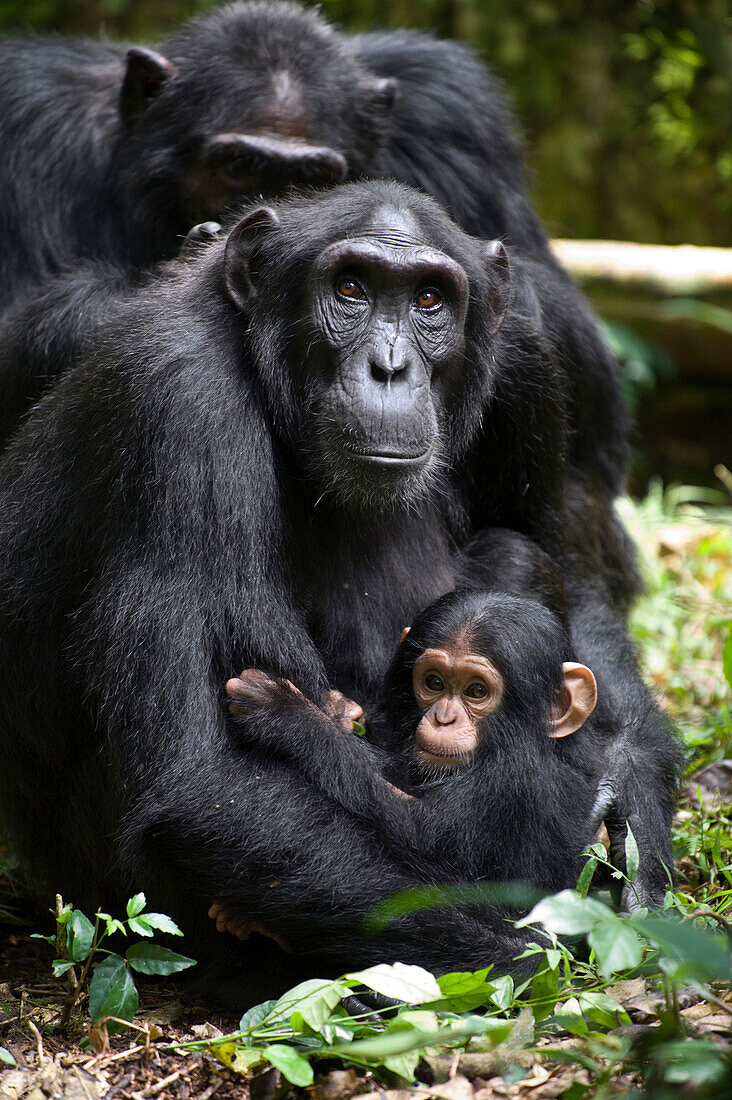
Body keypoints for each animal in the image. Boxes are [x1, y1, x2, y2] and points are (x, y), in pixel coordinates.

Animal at [0, 182, 678, 1007]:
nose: (389, 366)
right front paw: (521, 957)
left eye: (429, 299)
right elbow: (202, 776)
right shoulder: (181, 401)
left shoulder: (524, 366)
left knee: (513, 552)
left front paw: (629, 798)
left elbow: (561, 552)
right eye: (350, 289)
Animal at [2, 2, 625, 543]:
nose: (259, 215)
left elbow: (581, 356)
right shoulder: (29, 122)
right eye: (238, 166)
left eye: (314, 180)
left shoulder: (454, 111)